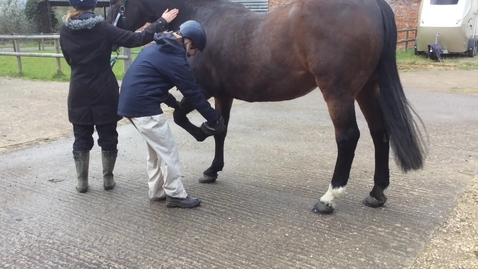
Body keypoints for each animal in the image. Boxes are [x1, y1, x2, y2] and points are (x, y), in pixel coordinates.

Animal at [107, 0, 426, 214]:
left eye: (118, 4)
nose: (110, 36)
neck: (201, 19)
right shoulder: (223, 93)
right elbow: (222, 130)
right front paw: (212, 169)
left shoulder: (200, 88)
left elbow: (181, 116)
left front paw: (202, 132)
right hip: (367, 89)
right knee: (379, 133)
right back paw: (377, 192)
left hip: (338, 92)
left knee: (348, 137)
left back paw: (328, 198)